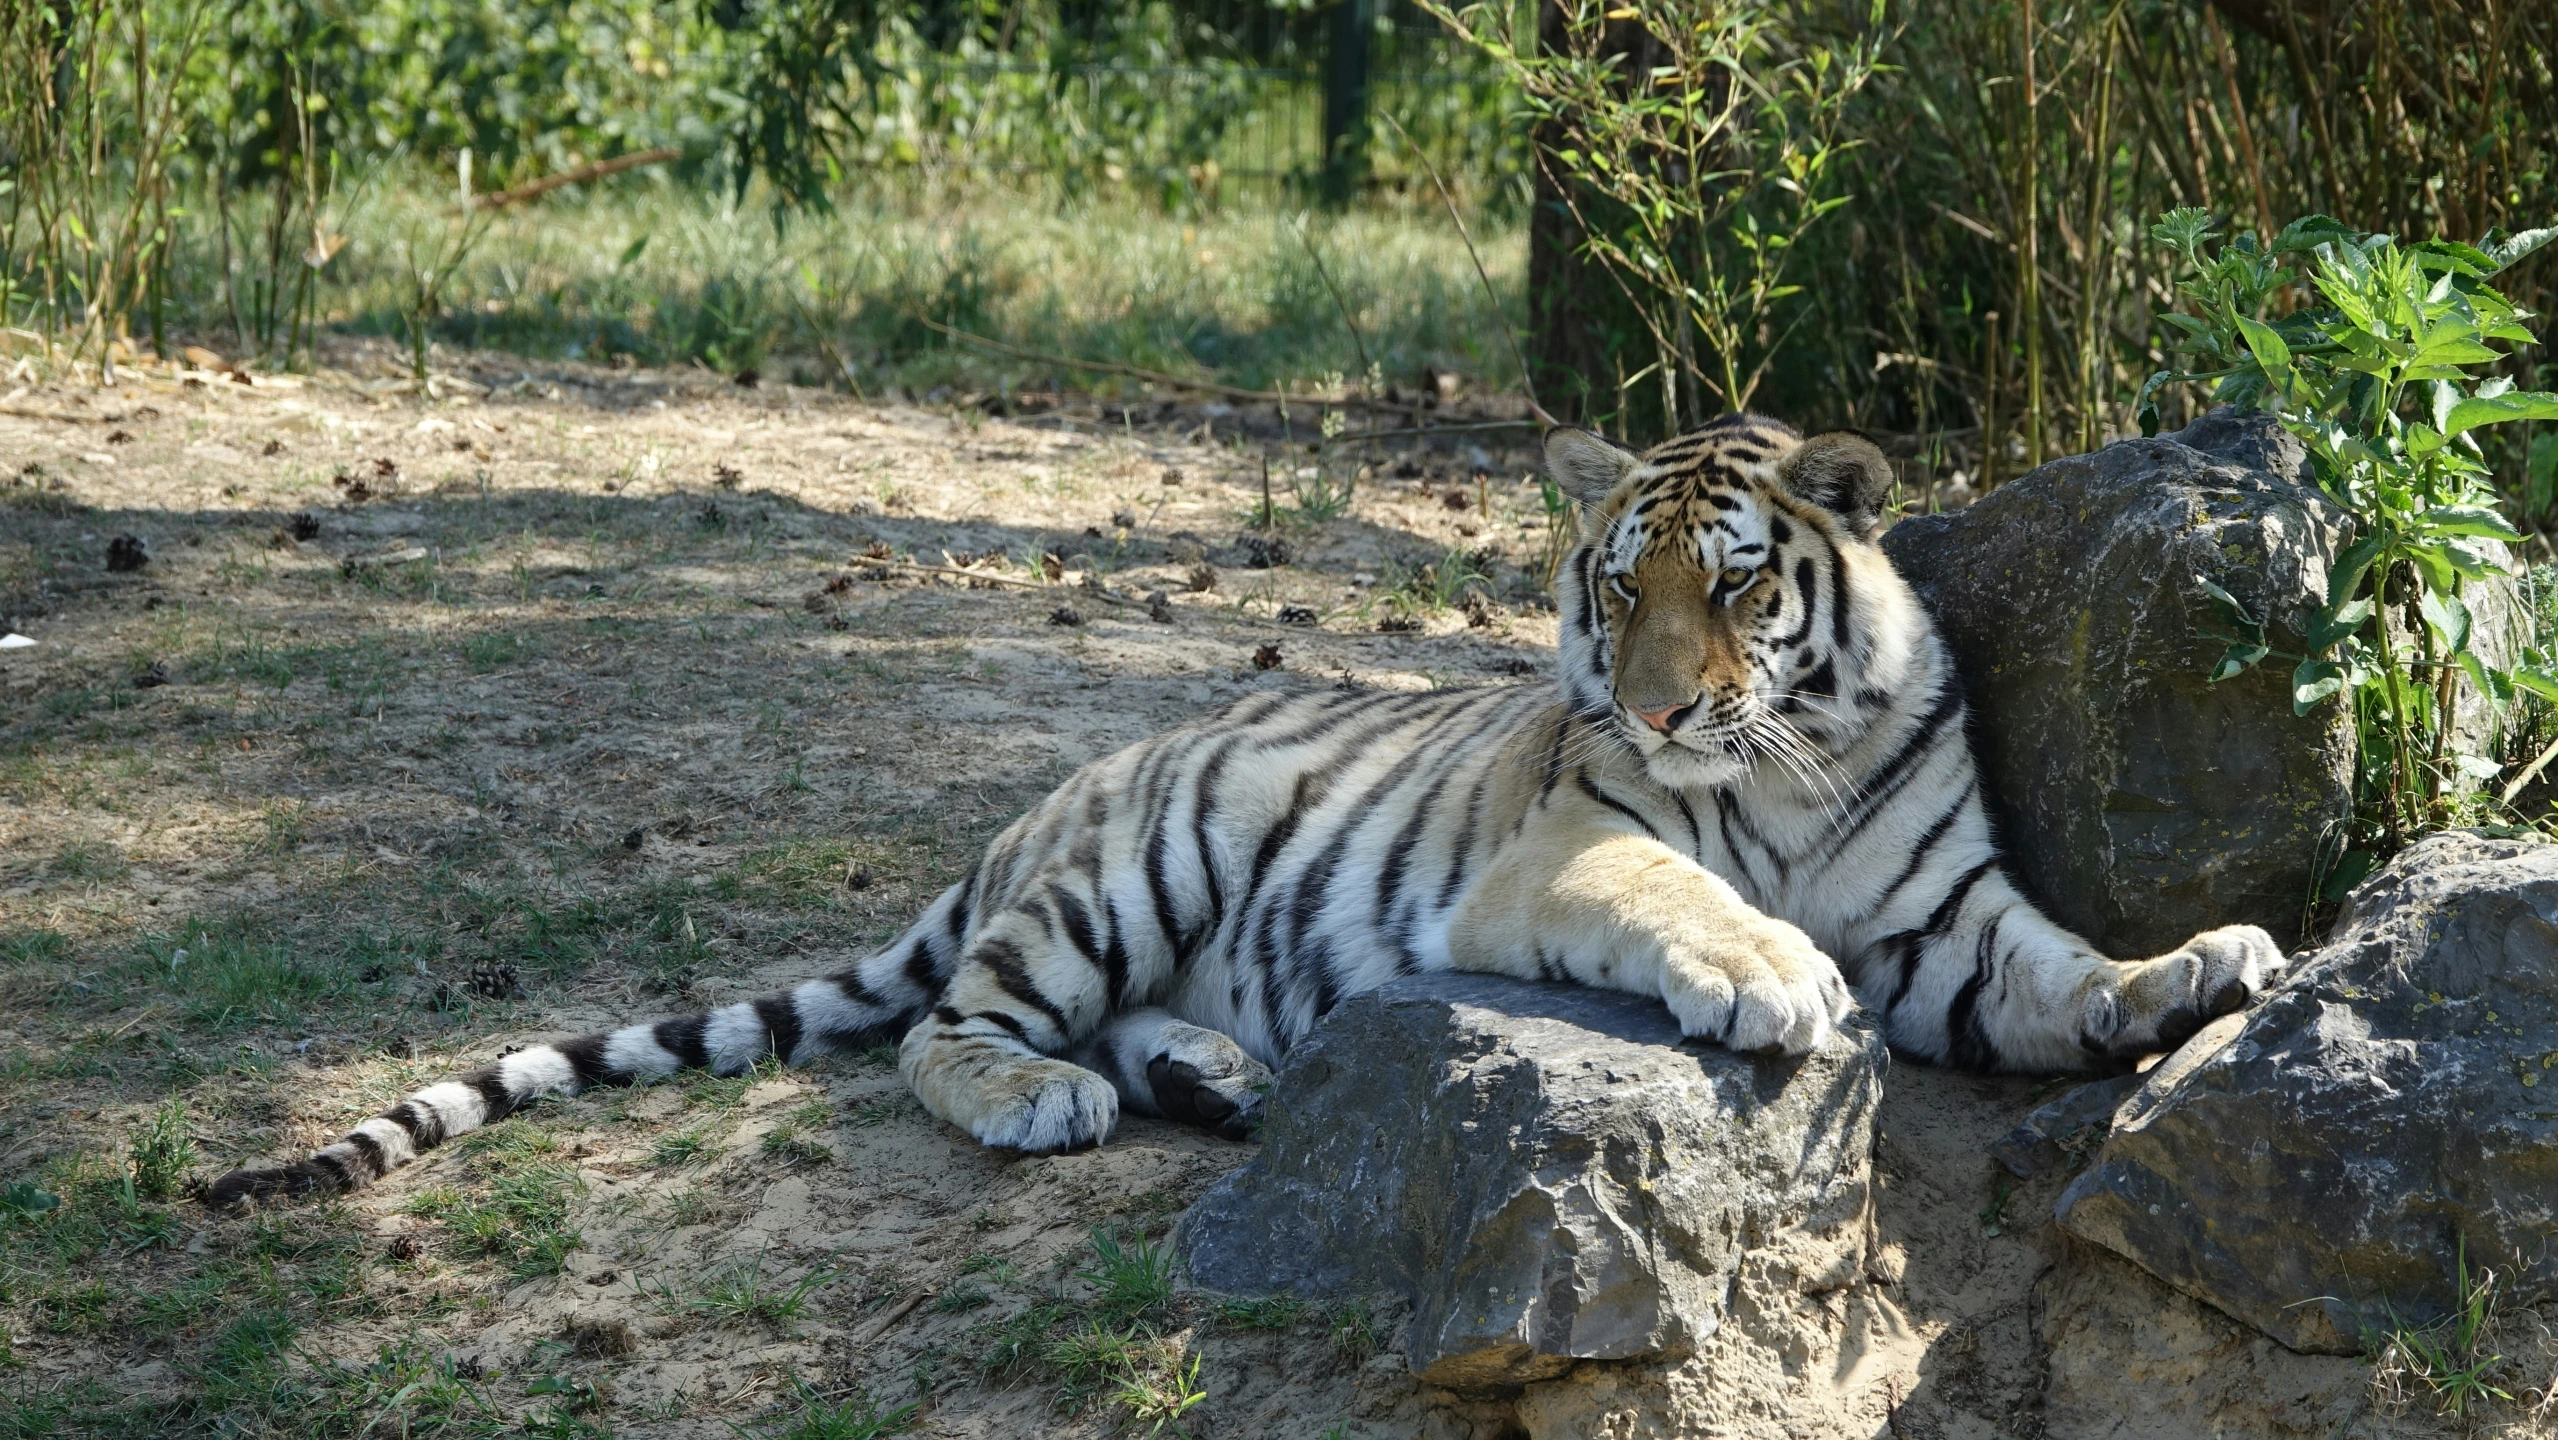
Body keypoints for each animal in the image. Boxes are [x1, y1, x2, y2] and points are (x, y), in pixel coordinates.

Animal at [199, 411, 2281, 1212]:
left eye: (1735, 585)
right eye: (1618, 593)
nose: (1654, 699)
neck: (1792, 761)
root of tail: (1034, 807)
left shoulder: (1945, 922)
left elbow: (2062, 976)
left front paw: (2201, 971)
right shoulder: (1565, 848)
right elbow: (1687, 904)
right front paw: (1770, 980)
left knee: (1118, 1024)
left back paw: (1215, 1078)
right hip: (1132, 867)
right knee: (946, 1033)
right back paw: (1046, 1101)